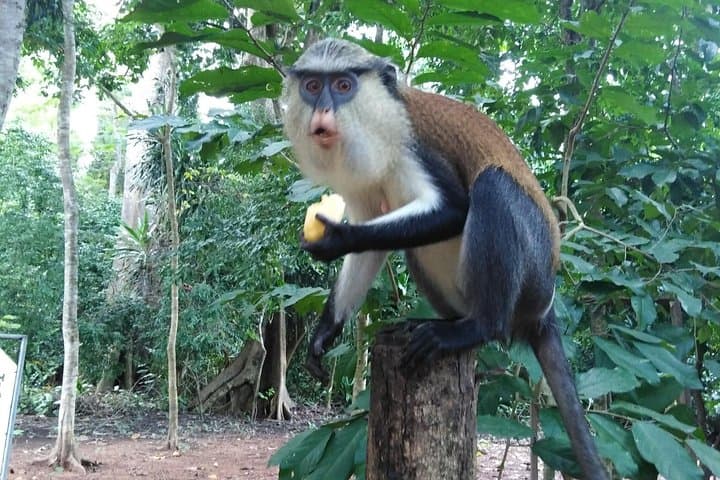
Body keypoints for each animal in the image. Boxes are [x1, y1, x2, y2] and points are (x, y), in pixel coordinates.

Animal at [281, 38, 608, 480]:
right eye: (313, 85)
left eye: (344, 85)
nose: (323, 112)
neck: (378, 121)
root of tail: (545, 308)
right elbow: (371, 238)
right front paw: (325, 331)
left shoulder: (415, 147)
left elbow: (454, 208)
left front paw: (336, 238)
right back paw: (440, 322)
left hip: (532, 274)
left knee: (493, 187)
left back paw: (473, 328)